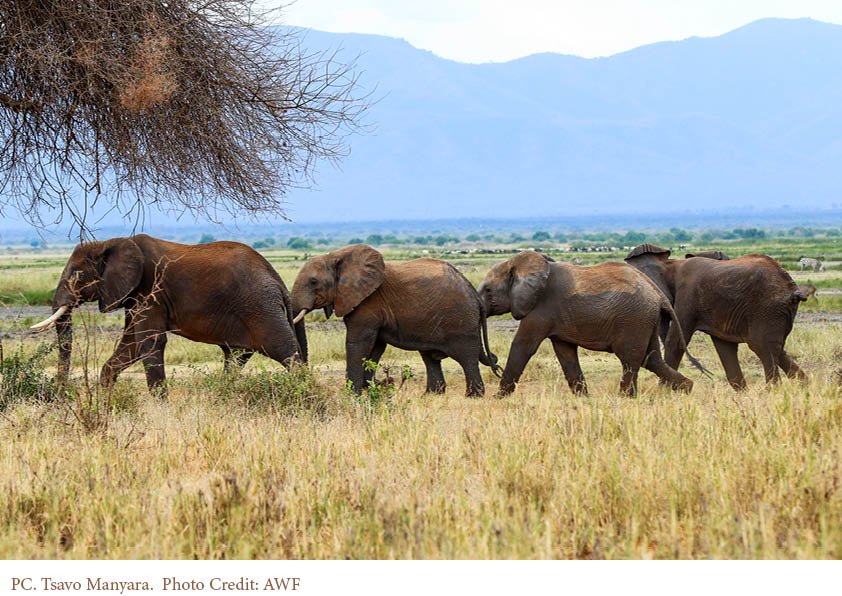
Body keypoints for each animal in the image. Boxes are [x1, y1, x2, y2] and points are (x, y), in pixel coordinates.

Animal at [29, 234, 306, 396]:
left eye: (76, 274)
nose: (60, 394)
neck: (112, 242)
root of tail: (278, 282)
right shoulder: (135, 295)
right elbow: (131, 345)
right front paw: (106, 398)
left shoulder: (150, 288)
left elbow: (149, 342)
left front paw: (160, 404)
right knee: (238, 357)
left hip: (261, 307)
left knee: (286, 352)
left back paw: (304, 392)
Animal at [288, 244, 498, 398]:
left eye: (313, 282)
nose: (387, 381)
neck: (335, 256)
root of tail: (475, 295)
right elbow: (376, 346)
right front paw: (370, 387)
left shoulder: (368, 302)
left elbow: (358, 343)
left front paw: (353, 394)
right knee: (430, 357)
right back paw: (431, 395)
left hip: (460, 320)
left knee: (467, 357)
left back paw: (473, 396)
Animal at [480, 250, 696, 396]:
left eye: (488, 290)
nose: (496, 365)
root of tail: (658, 294)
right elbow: (565, 353)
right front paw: (583, 398)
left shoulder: (540, 308)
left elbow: (523, 346)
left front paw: (498, 398)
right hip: (645, 319)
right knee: (650, 359)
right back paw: (687, 388)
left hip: (634, 318)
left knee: (630, 359)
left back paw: (624, 398)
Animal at [624, 243, 808, 392]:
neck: (671, 264)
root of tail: (792, 289)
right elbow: (724, 347)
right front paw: (743, 393)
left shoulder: (688, 297)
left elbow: (675, 342)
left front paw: (664, 390)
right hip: (775, 312)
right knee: (777, 348)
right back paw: (804, 386)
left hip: (766, 308)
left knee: (762, 346)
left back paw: (774, 390)